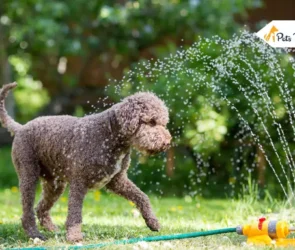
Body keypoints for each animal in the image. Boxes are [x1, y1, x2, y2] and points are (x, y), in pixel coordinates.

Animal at [0, 82, 171, 242]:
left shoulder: (117, 180)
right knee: (27, 211)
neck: (109, 134)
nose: (167, 142)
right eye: (151, 122)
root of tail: (21, 128)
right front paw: (74, 236)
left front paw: (153, 222)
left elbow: (142, 197)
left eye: (164, 123)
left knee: (41, 208)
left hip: (55, 184)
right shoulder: (79, 182)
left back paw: (51, 229)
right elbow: (75, 214)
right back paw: (34, 234)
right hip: (29, 176)